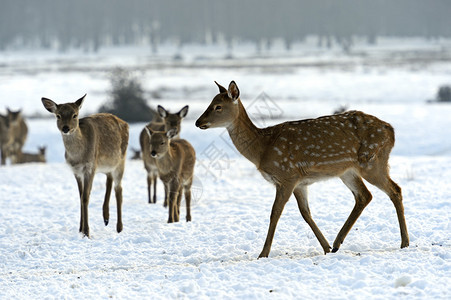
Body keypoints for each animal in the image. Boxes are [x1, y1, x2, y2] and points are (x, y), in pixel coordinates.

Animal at [41, 95, 129, 238]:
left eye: (75, 115)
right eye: (58, 115)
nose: (65, 128)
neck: (78, 157)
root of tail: (125, 123)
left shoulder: (90, 167)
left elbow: (86, 197)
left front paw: (87, 232)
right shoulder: (76, 171)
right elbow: (80, 196)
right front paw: (80, 229)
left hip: (121, 161)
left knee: (119, 190)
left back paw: (119, 227)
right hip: (106, 165)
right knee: (109, 180)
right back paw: (106, 217)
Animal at [195, 80, 410, 258]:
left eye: (218, 106)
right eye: (210, 102)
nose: (198, 122)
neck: (262, 148)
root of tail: (391, 131)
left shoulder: (286, 175)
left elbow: (275, 212)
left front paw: (263, 253)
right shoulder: (300, 182)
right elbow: (306, 213)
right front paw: (325, 247)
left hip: (372, 161)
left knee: (395, 189)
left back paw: (404, 242)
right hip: (348, 171)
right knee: (365, 195)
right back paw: (337, 243)